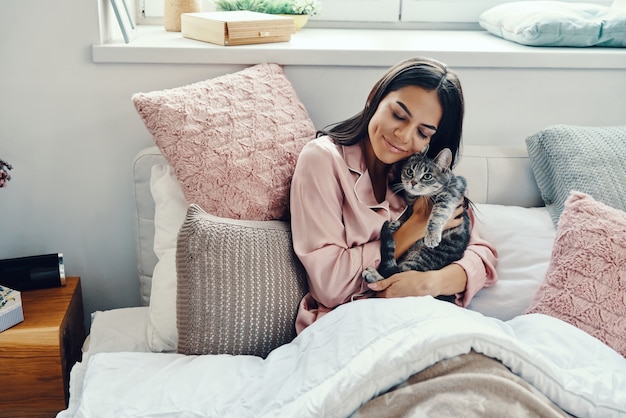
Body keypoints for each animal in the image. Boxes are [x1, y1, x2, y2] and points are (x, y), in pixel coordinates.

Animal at [360, 147, 468, 304]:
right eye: (409, 171)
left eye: (427, 176)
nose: (412, 182)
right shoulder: (412, 200)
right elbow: (409, 203)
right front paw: (397, 222)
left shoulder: (451, 193)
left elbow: (439, 212)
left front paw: (432, 235)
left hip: (423, 256)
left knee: (397, 274)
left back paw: (373, 275)